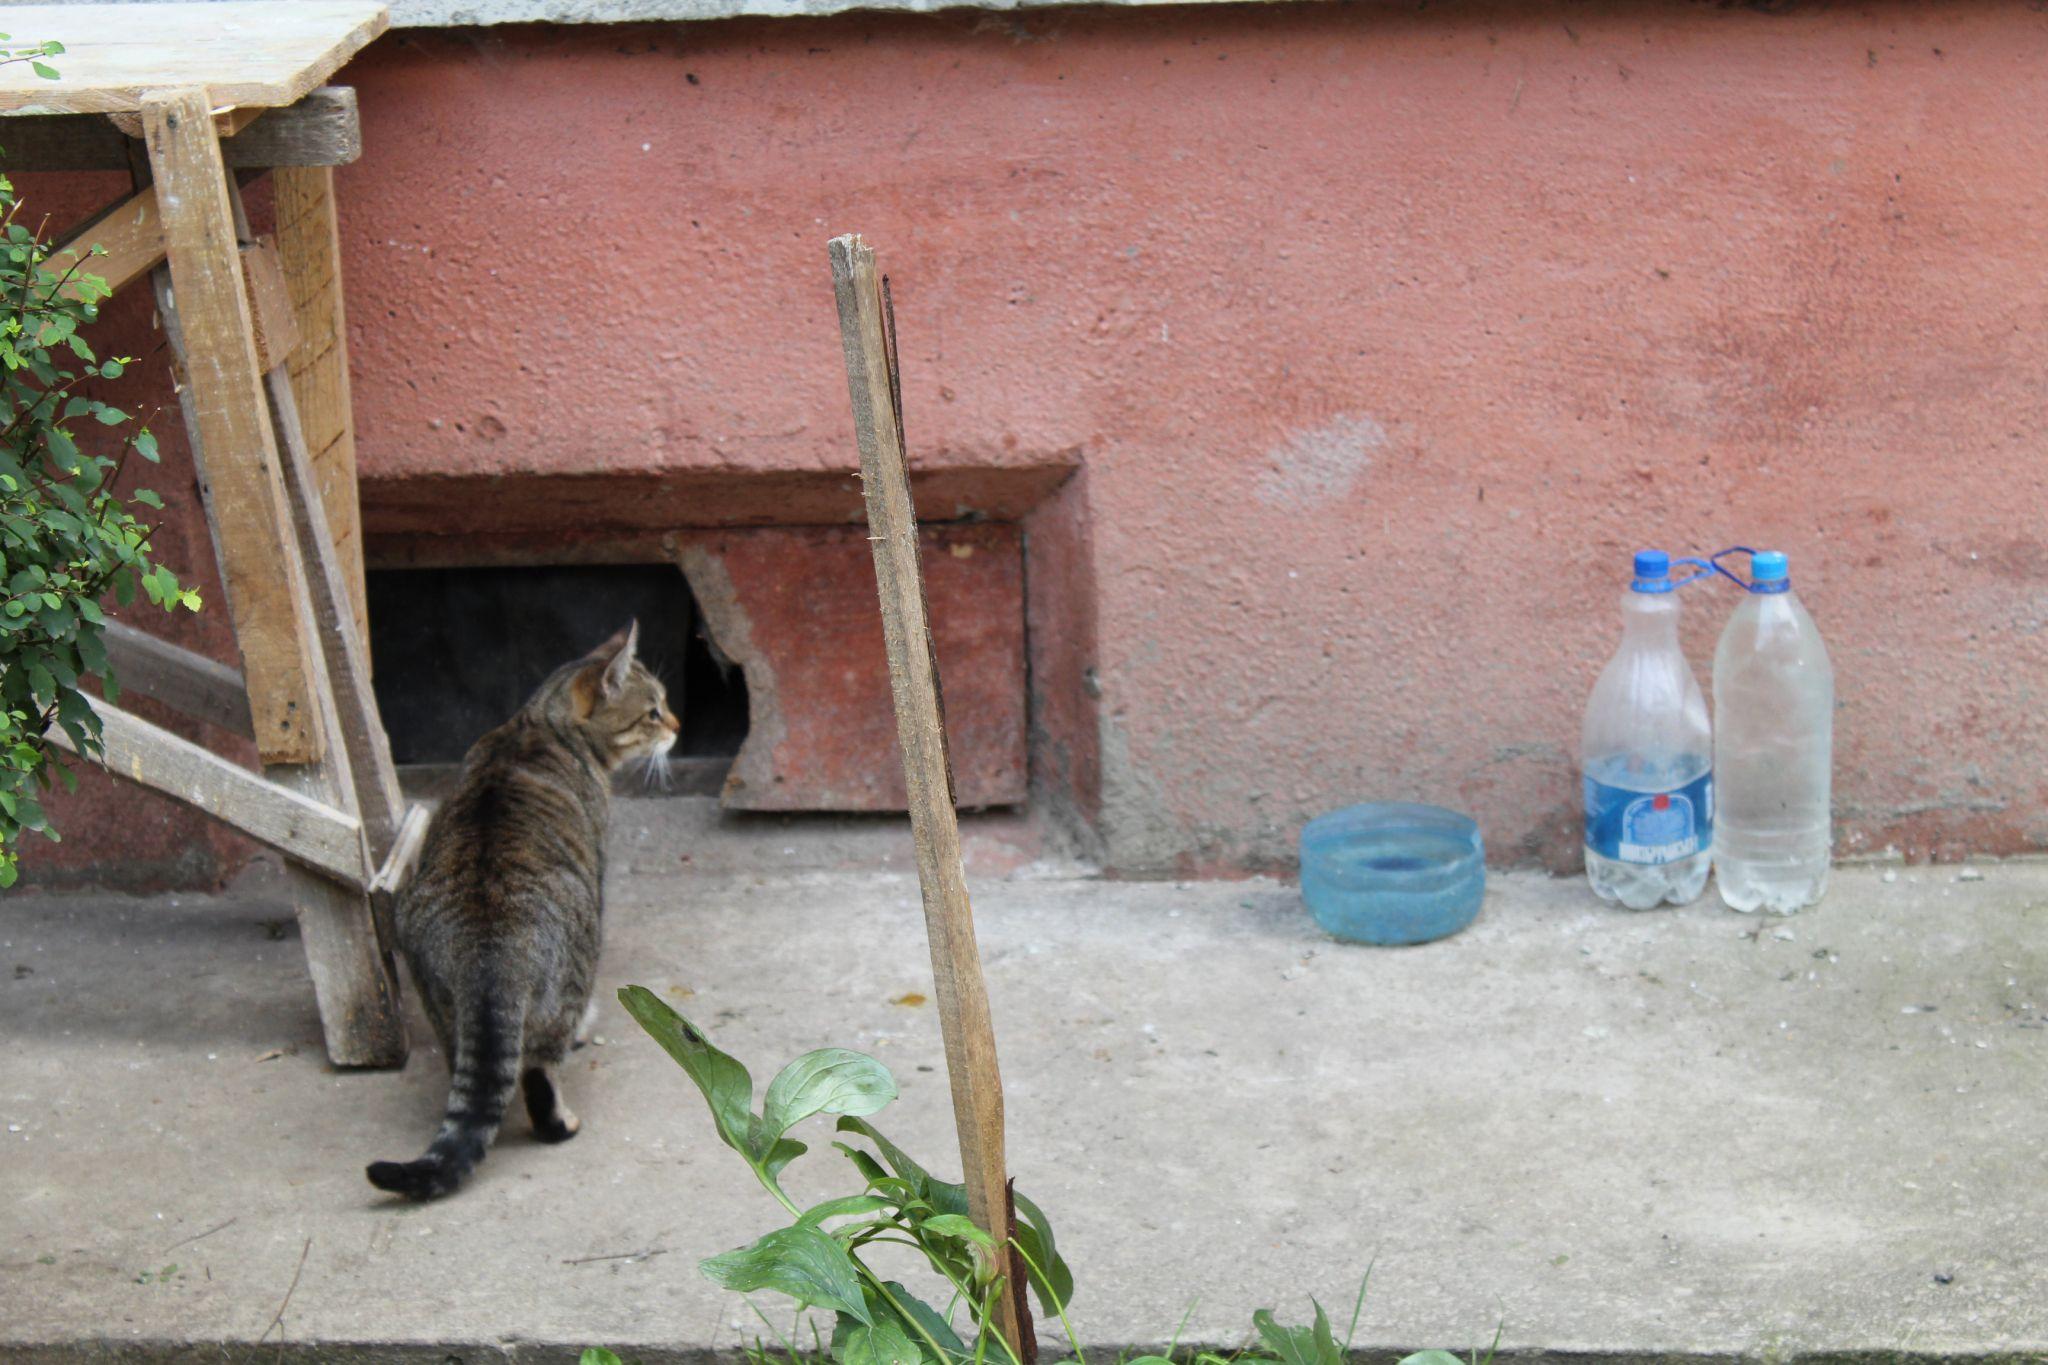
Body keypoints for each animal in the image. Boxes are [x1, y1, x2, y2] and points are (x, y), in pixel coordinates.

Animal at [368, 626, 679, 1203]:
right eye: (652, 711)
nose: (676, 725)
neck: (537, 723)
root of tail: (488, 955)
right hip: (575, 961)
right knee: (539, 1075)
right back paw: (563, 1120)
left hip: (440, 1002)